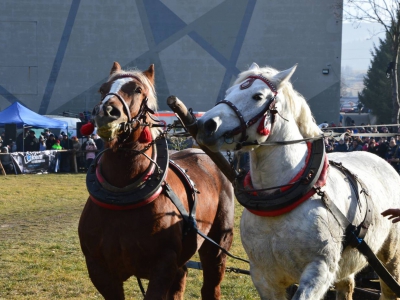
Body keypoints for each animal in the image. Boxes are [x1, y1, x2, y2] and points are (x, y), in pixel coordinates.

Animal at [78, 62, 234, 298]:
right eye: (103, 89)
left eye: (138, 89)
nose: (106, 113)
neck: (122, 197)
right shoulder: (99, 269)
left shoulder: (163, 265)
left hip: (217, 246)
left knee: (211, 285)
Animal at [195, 62, 400, 298]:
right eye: (229, 92)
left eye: (257, 96)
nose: (205, 125)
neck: (281, 194)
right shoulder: (264, 277)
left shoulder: (319, 271)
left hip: (390, 254)